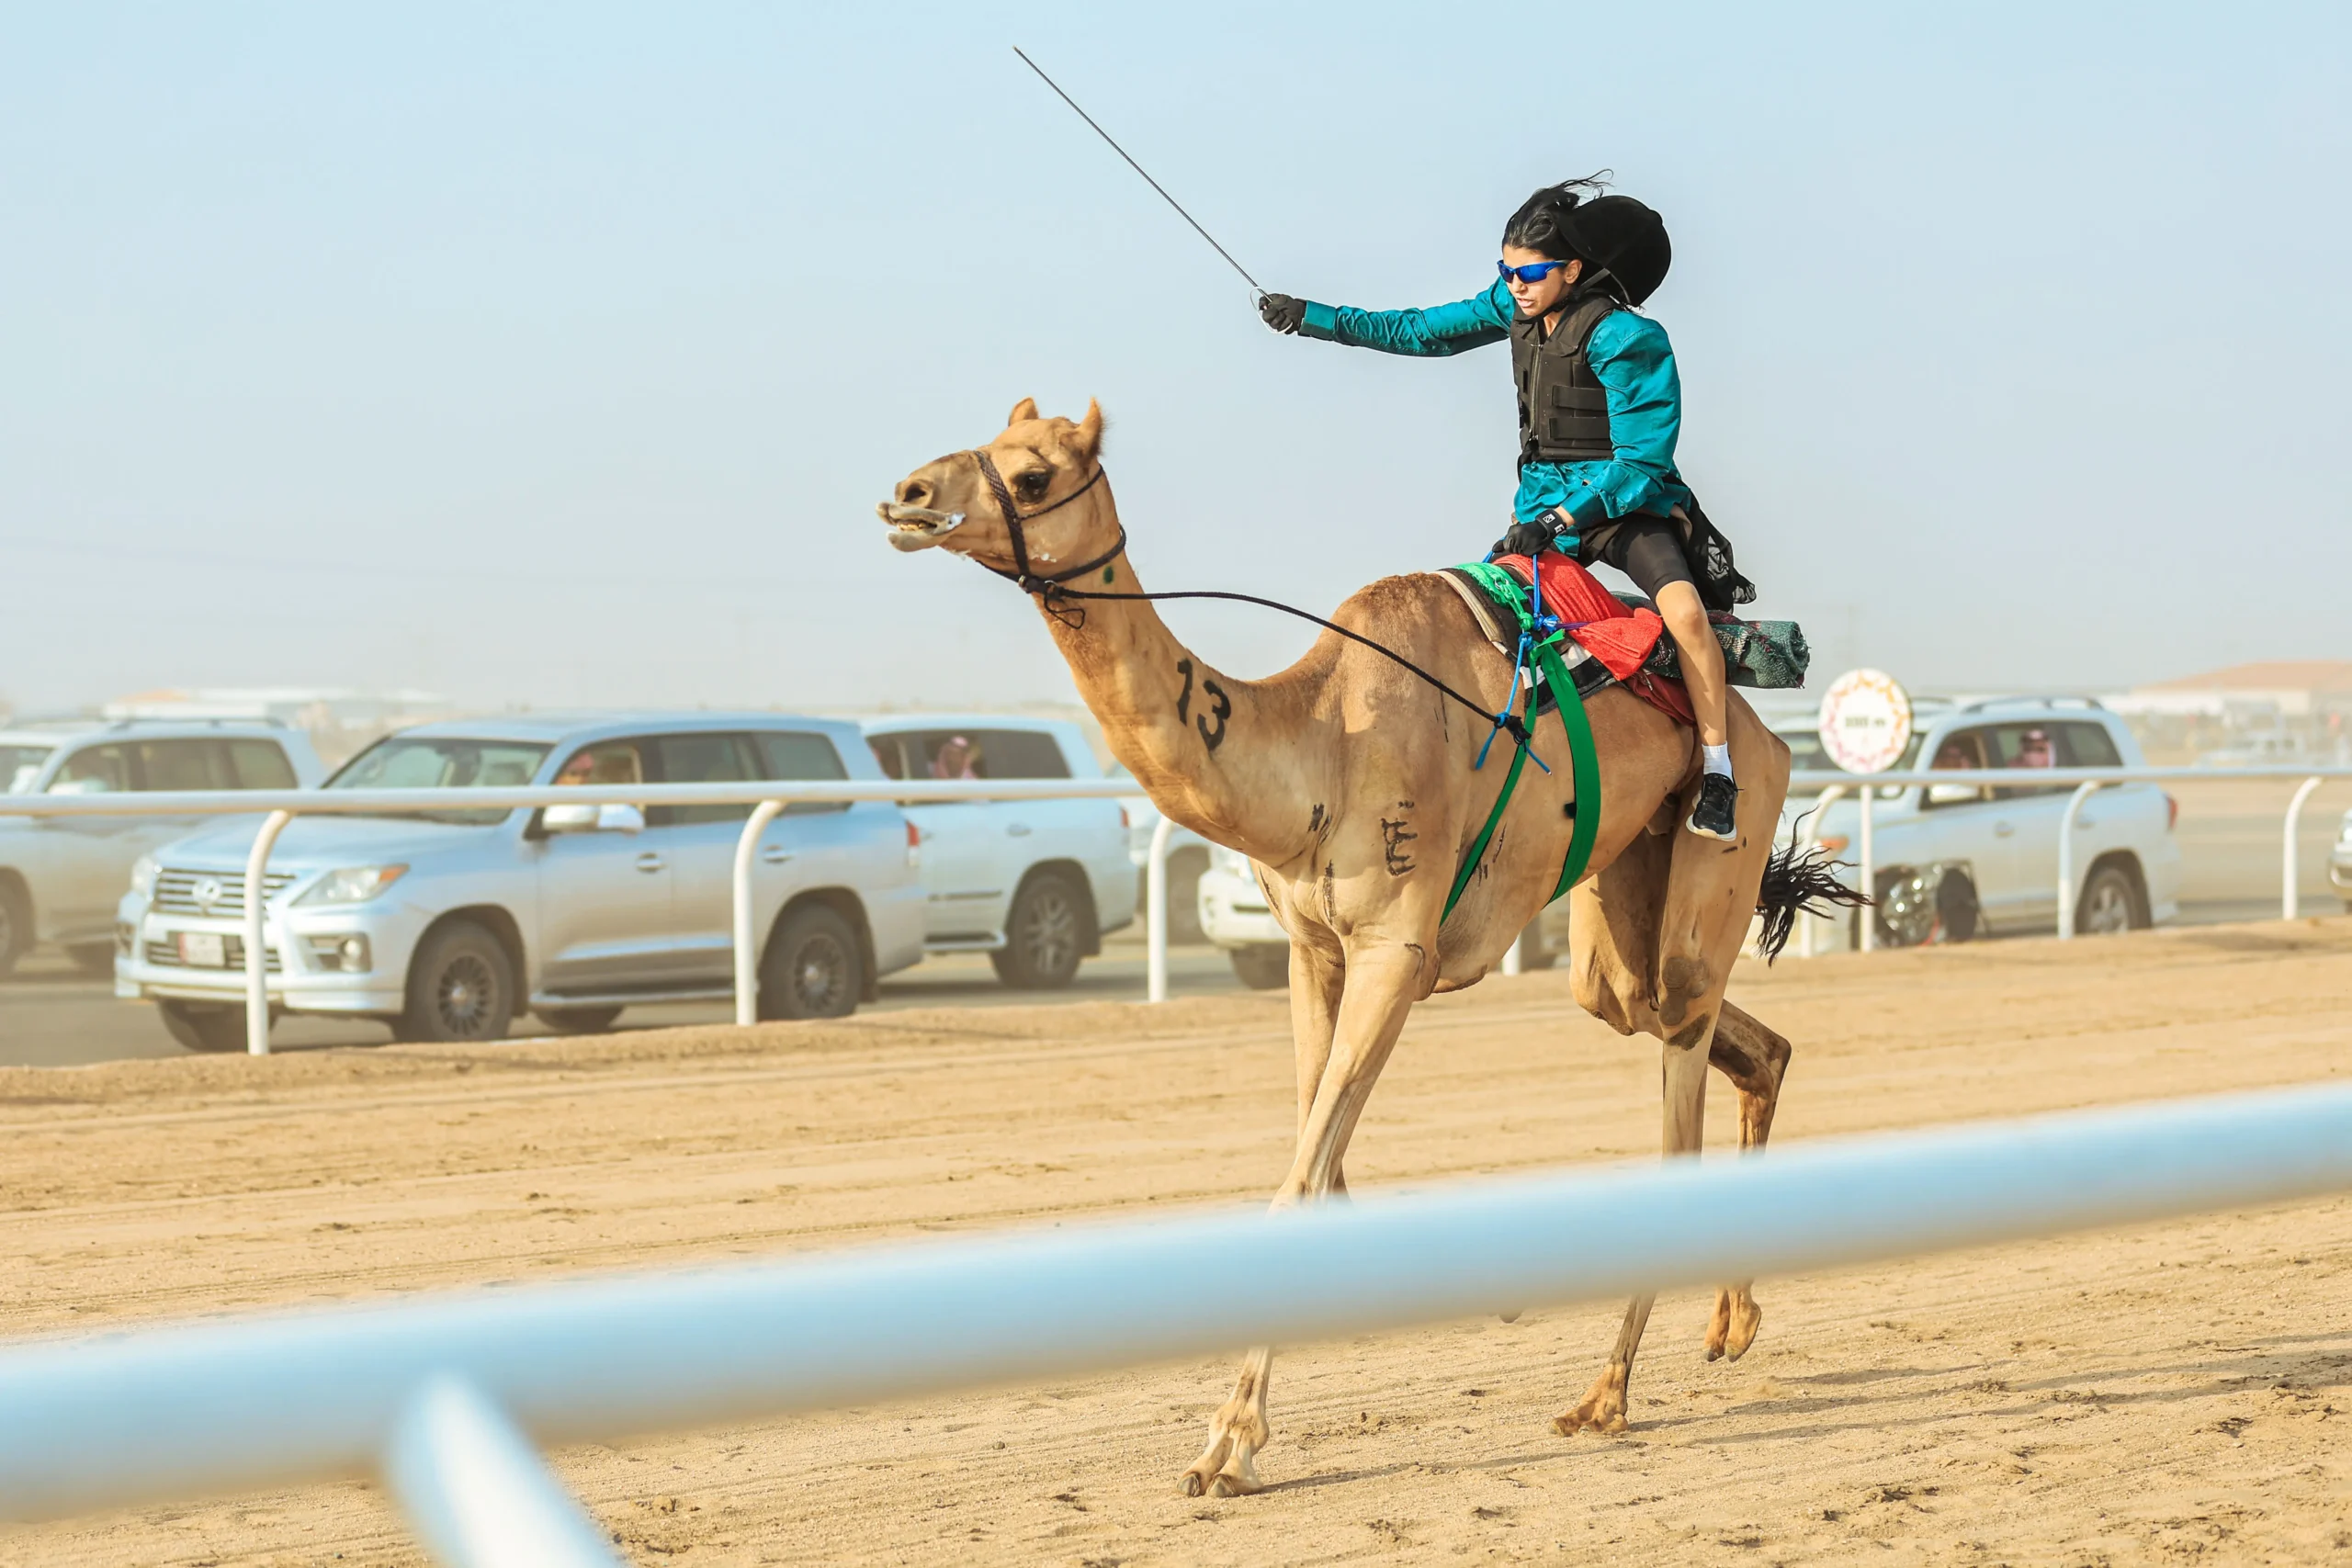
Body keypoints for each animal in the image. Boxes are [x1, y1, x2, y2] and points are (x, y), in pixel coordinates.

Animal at [884, 400, 1815, 1504]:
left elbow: (1296, 1181)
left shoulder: (1395, 950)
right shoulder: (1310, 950)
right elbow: (1315, 1159)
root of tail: (1764, 728)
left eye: (1032, 475)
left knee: (1682, 1033)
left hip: (1724, 834)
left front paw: (1227, 1441)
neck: (1322, 737)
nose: (906, 496)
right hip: (1618, 897)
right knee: (1703, 1025)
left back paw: (1607, 1392)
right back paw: (1731, 1317)